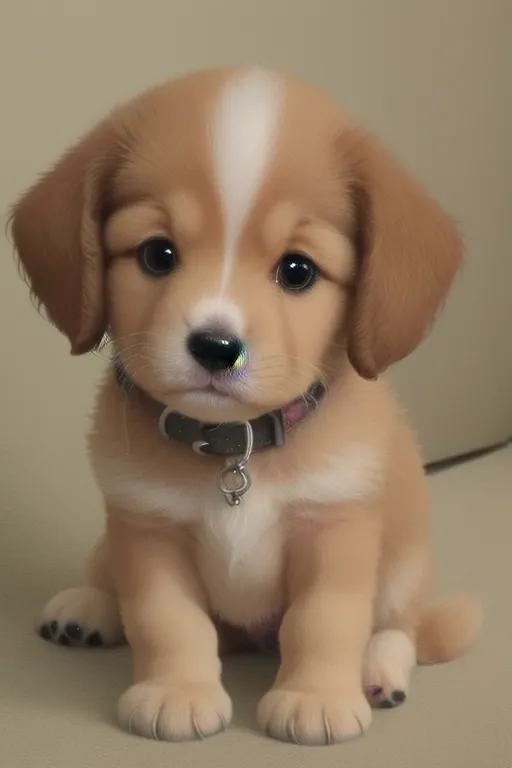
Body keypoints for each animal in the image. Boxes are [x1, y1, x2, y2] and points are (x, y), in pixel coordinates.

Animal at [10, 67, 480, 744]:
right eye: (158, 255)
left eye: (298, 270)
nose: (216, 347)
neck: (236, 446)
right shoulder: (147, 530)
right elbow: (165, 620)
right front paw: (176, 690)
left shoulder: (334, 530)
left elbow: (323, 622)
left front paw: (315, 697)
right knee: (109, 576)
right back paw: (89, 607)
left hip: (404, 564)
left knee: (401, 629)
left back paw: (378, 672)